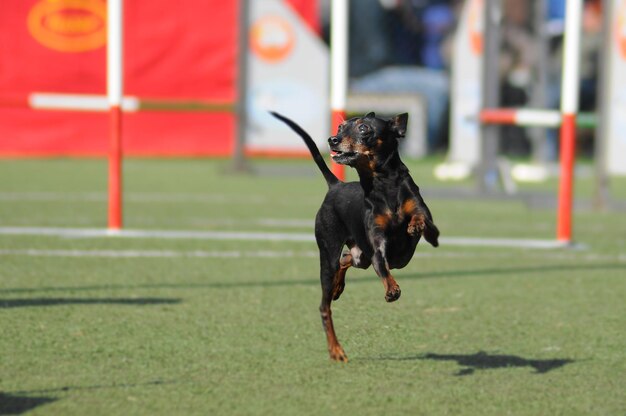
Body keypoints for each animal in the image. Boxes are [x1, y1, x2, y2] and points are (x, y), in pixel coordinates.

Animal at [270, 110, 436, 360]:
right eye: (340, 127)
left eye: (364, 128)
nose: (333, 139)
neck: (383, 184)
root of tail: (336, 185)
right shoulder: (377, 245)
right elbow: (383, 266)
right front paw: (392, 290)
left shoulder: (418, 211)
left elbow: (421, 217)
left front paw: (416, 225)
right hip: (328, 254)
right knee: (325, 303)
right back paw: (336, 349)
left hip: (363, 257)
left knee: (347, 258)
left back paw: (338, 287)